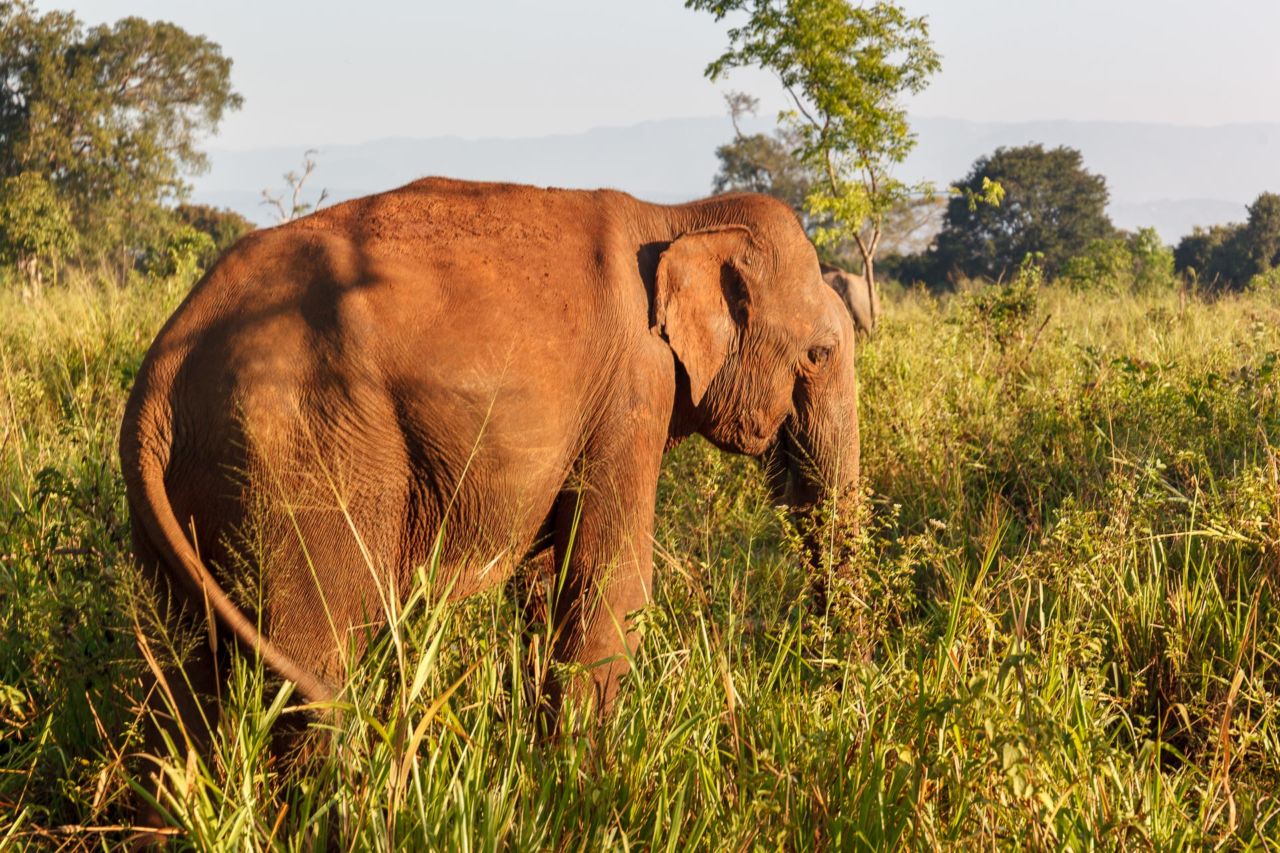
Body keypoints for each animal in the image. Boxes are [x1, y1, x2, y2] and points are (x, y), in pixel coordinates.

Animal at [120, 174, 860, 804]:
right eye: (819, 353)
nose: (830, 697)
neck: (680, 216)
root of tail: (159, 376)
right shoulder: (633, 391)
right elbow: (610, 583)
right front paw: (584, 793)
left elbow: (547, 584)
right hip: (301, 453)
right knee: (312, 665)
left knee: (183, 679)